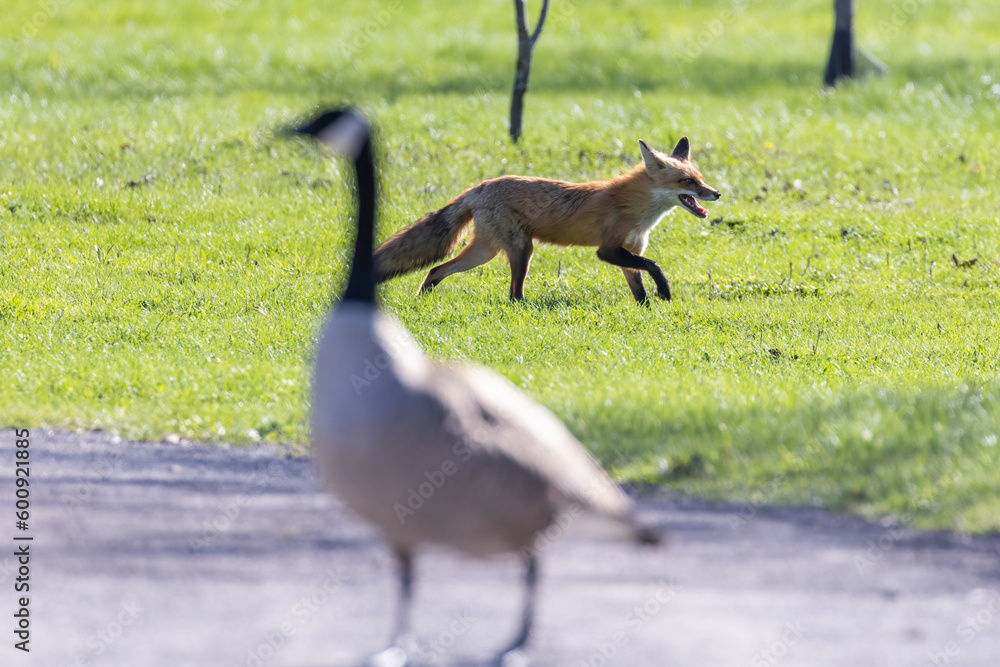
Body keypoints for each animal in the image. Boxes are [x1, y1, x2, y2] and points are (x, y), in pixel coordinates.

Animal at [374, 139, 720, 306]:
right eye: (688, 181)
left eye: (700, 178)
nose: (715, 193)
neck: (638, 208)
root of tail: (479, 187)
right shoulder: (608, 249)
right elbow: (654, 266)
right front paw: (665, 292)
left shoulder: (630, 250)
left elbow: (639, 289)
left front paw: (649, 310)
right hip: (520, 249)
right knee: (513, 294)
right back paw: (525, 308)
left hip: (484, 252)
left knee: (436, 269)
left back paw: (423, 299)